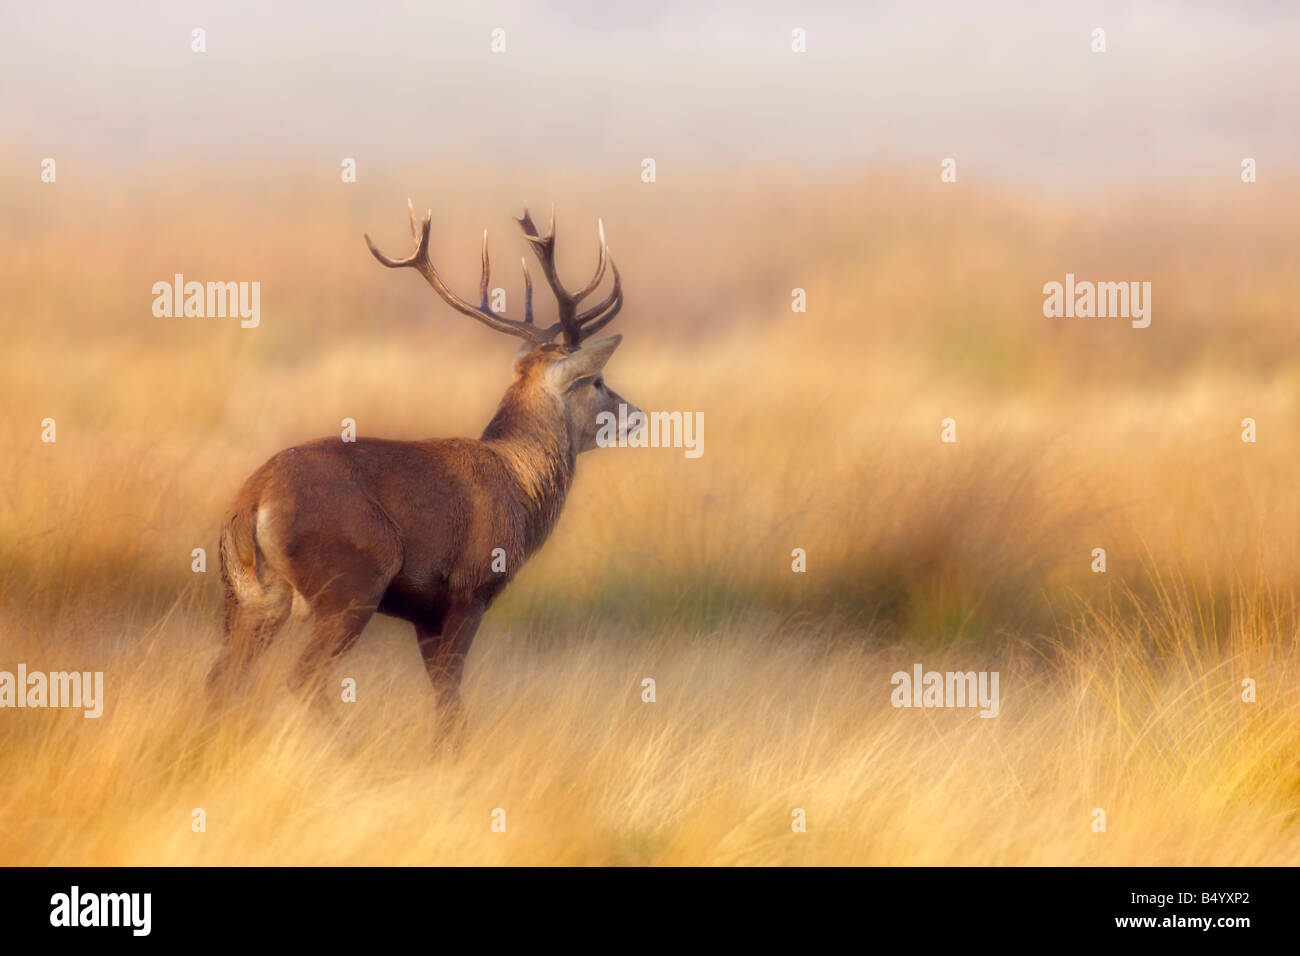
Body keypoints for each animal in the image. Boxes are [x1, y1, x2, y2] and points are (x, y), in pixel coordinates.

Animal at [208, 201, 640, 728]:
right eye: (596, 381)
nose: (637, 415)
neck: (519, 483)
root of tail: (252, 502)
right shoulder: (468, 590)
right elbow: (451, 702)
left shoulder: (425, 612)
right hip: (351, 583)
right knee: (303, 677)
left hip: (249, 597)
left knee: (222, 678)